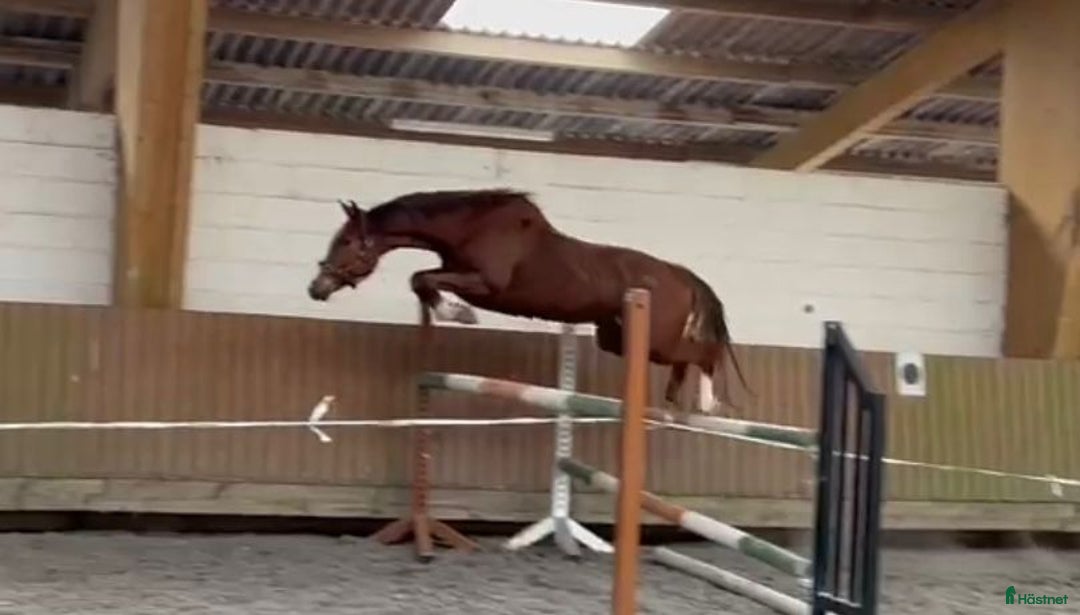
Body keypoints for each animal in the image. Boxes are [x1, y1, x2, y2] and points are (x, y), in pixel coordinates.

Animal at [306, 188, 750, 414]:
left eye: (346, 242)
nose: (316, 287)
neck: (472, 226)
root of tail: (681, 274)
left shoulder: (484, 284)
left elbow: (422, 278)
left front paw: (459, 314)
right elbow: (422, 280)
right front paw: (450, 311)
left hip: (654, 338)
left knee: (702, 353)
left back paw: (707, 404)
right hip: (617, 338)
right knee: (683, 359)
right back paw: (676, 402)